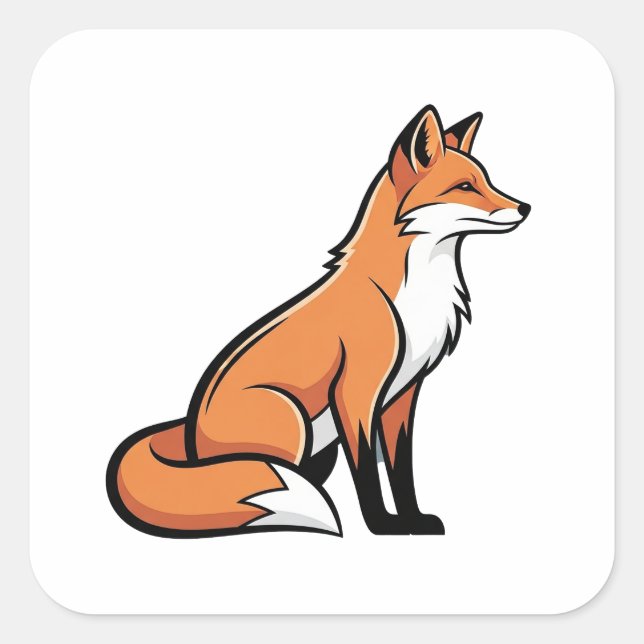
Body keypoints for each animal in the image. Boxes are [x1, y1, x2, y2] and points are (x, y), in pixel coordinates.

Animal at [107, 104, 531, 538]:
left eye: (487, 180)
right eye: (464, 187)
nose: (525, 208)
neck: (414, 294)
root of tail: (189, 436)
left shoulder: (402, 396)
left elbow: (401, 471)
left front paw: (413, 520)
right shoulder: (355, 394)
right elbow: (366, 471)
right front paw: (381, 525)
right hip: (290, 416)